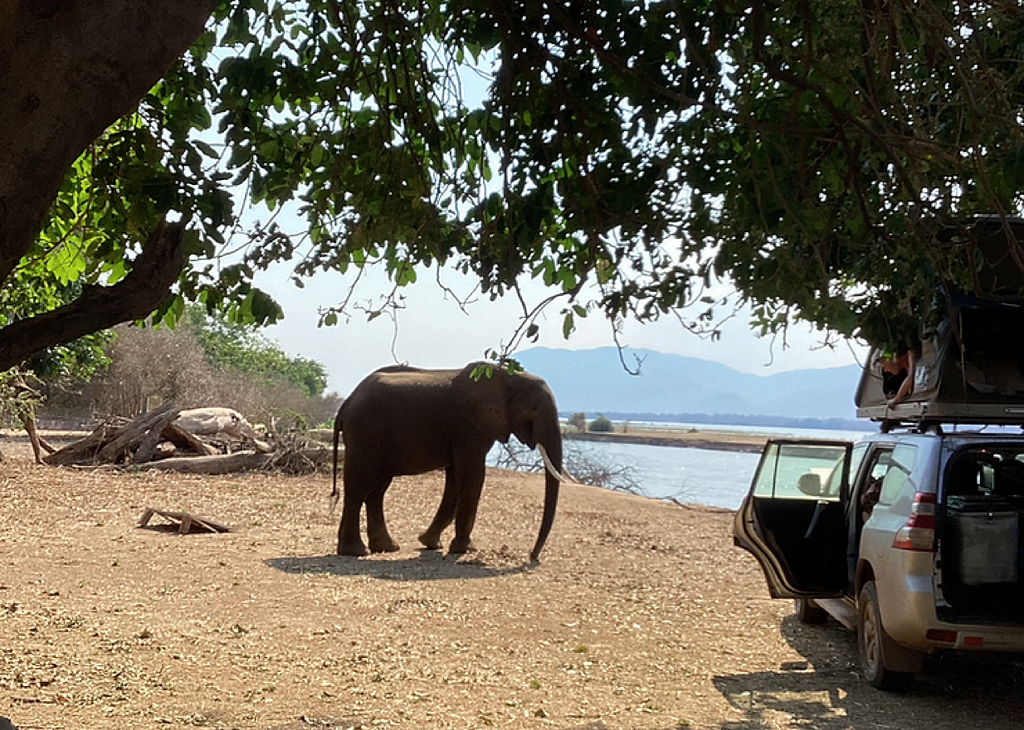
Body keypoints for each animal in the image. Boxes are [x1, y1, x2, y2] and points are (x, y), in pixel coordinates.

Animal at [329, 362, 565, 561]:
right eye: (533, 409)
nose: (532, 556)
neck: (507, 375)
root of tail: (347, 402)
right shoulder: (468, 427)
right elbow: (471, 476)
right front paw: (465, 549)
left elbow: (455, 480)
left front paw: (430, 543)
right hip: (364, 434)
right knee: (359, 487)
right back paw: (355, 551)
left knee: (376, 491)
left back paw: (386, 547)